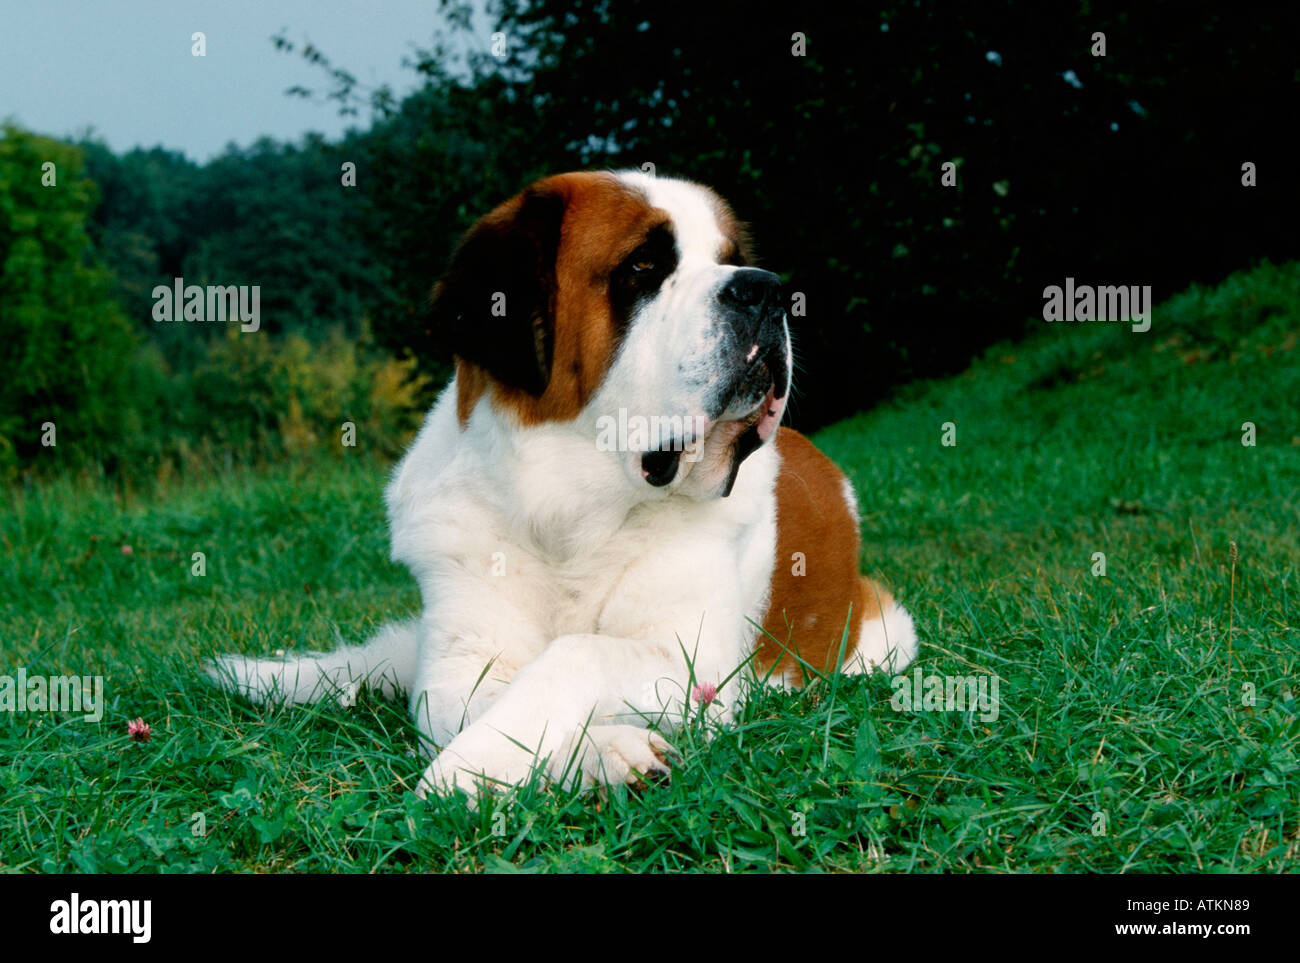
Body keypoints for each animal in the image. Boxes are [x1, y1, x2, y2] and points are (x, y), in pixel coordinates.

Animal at [208, 171, 920, 795]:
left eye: (732, 259)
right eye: (643, 267)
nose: (767, 289)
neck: (572, 515)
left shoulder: (705, 669)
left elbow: (578, 653)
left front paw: (465, 769)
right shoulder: (455, 666)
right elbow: (483, 698)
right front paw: (600, 752)